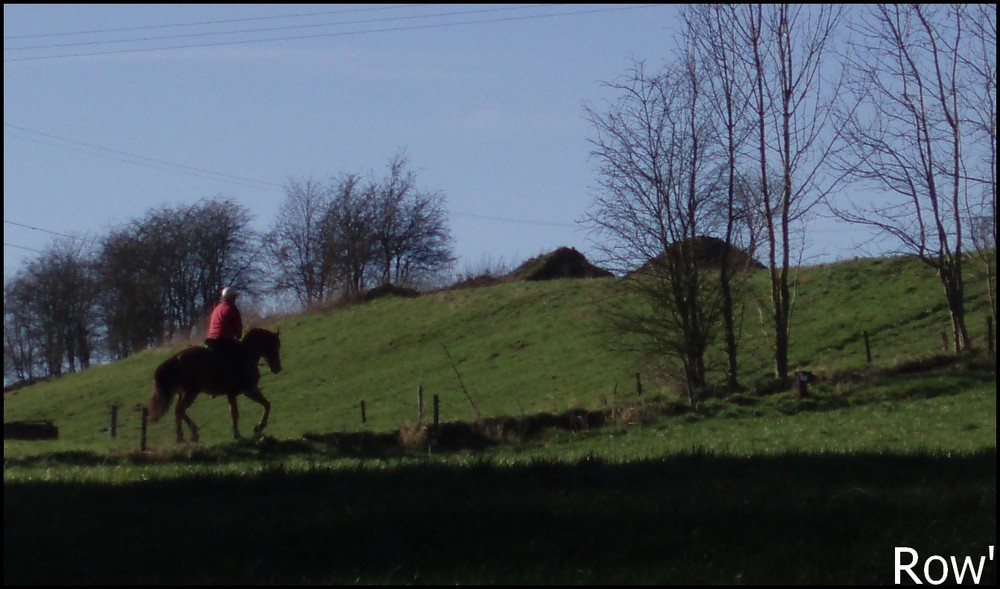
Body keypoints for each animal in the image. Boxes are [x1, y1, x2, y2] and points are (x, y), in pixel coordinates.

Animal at [147, 326, 282, 440]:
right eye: (275, 346)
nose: (277, 368)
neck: (246, 353)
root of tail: (176, 358)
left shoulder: (232, 395)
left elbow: (235, 413)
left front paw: (239, 434)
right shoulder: (250, 390)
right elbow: (265, 405)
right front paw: (256, 428)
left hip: (184, 393)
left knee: (179, 410)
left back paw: (190, 433)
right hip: (191, 392)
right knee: (180, 410)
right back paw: (183, 435)